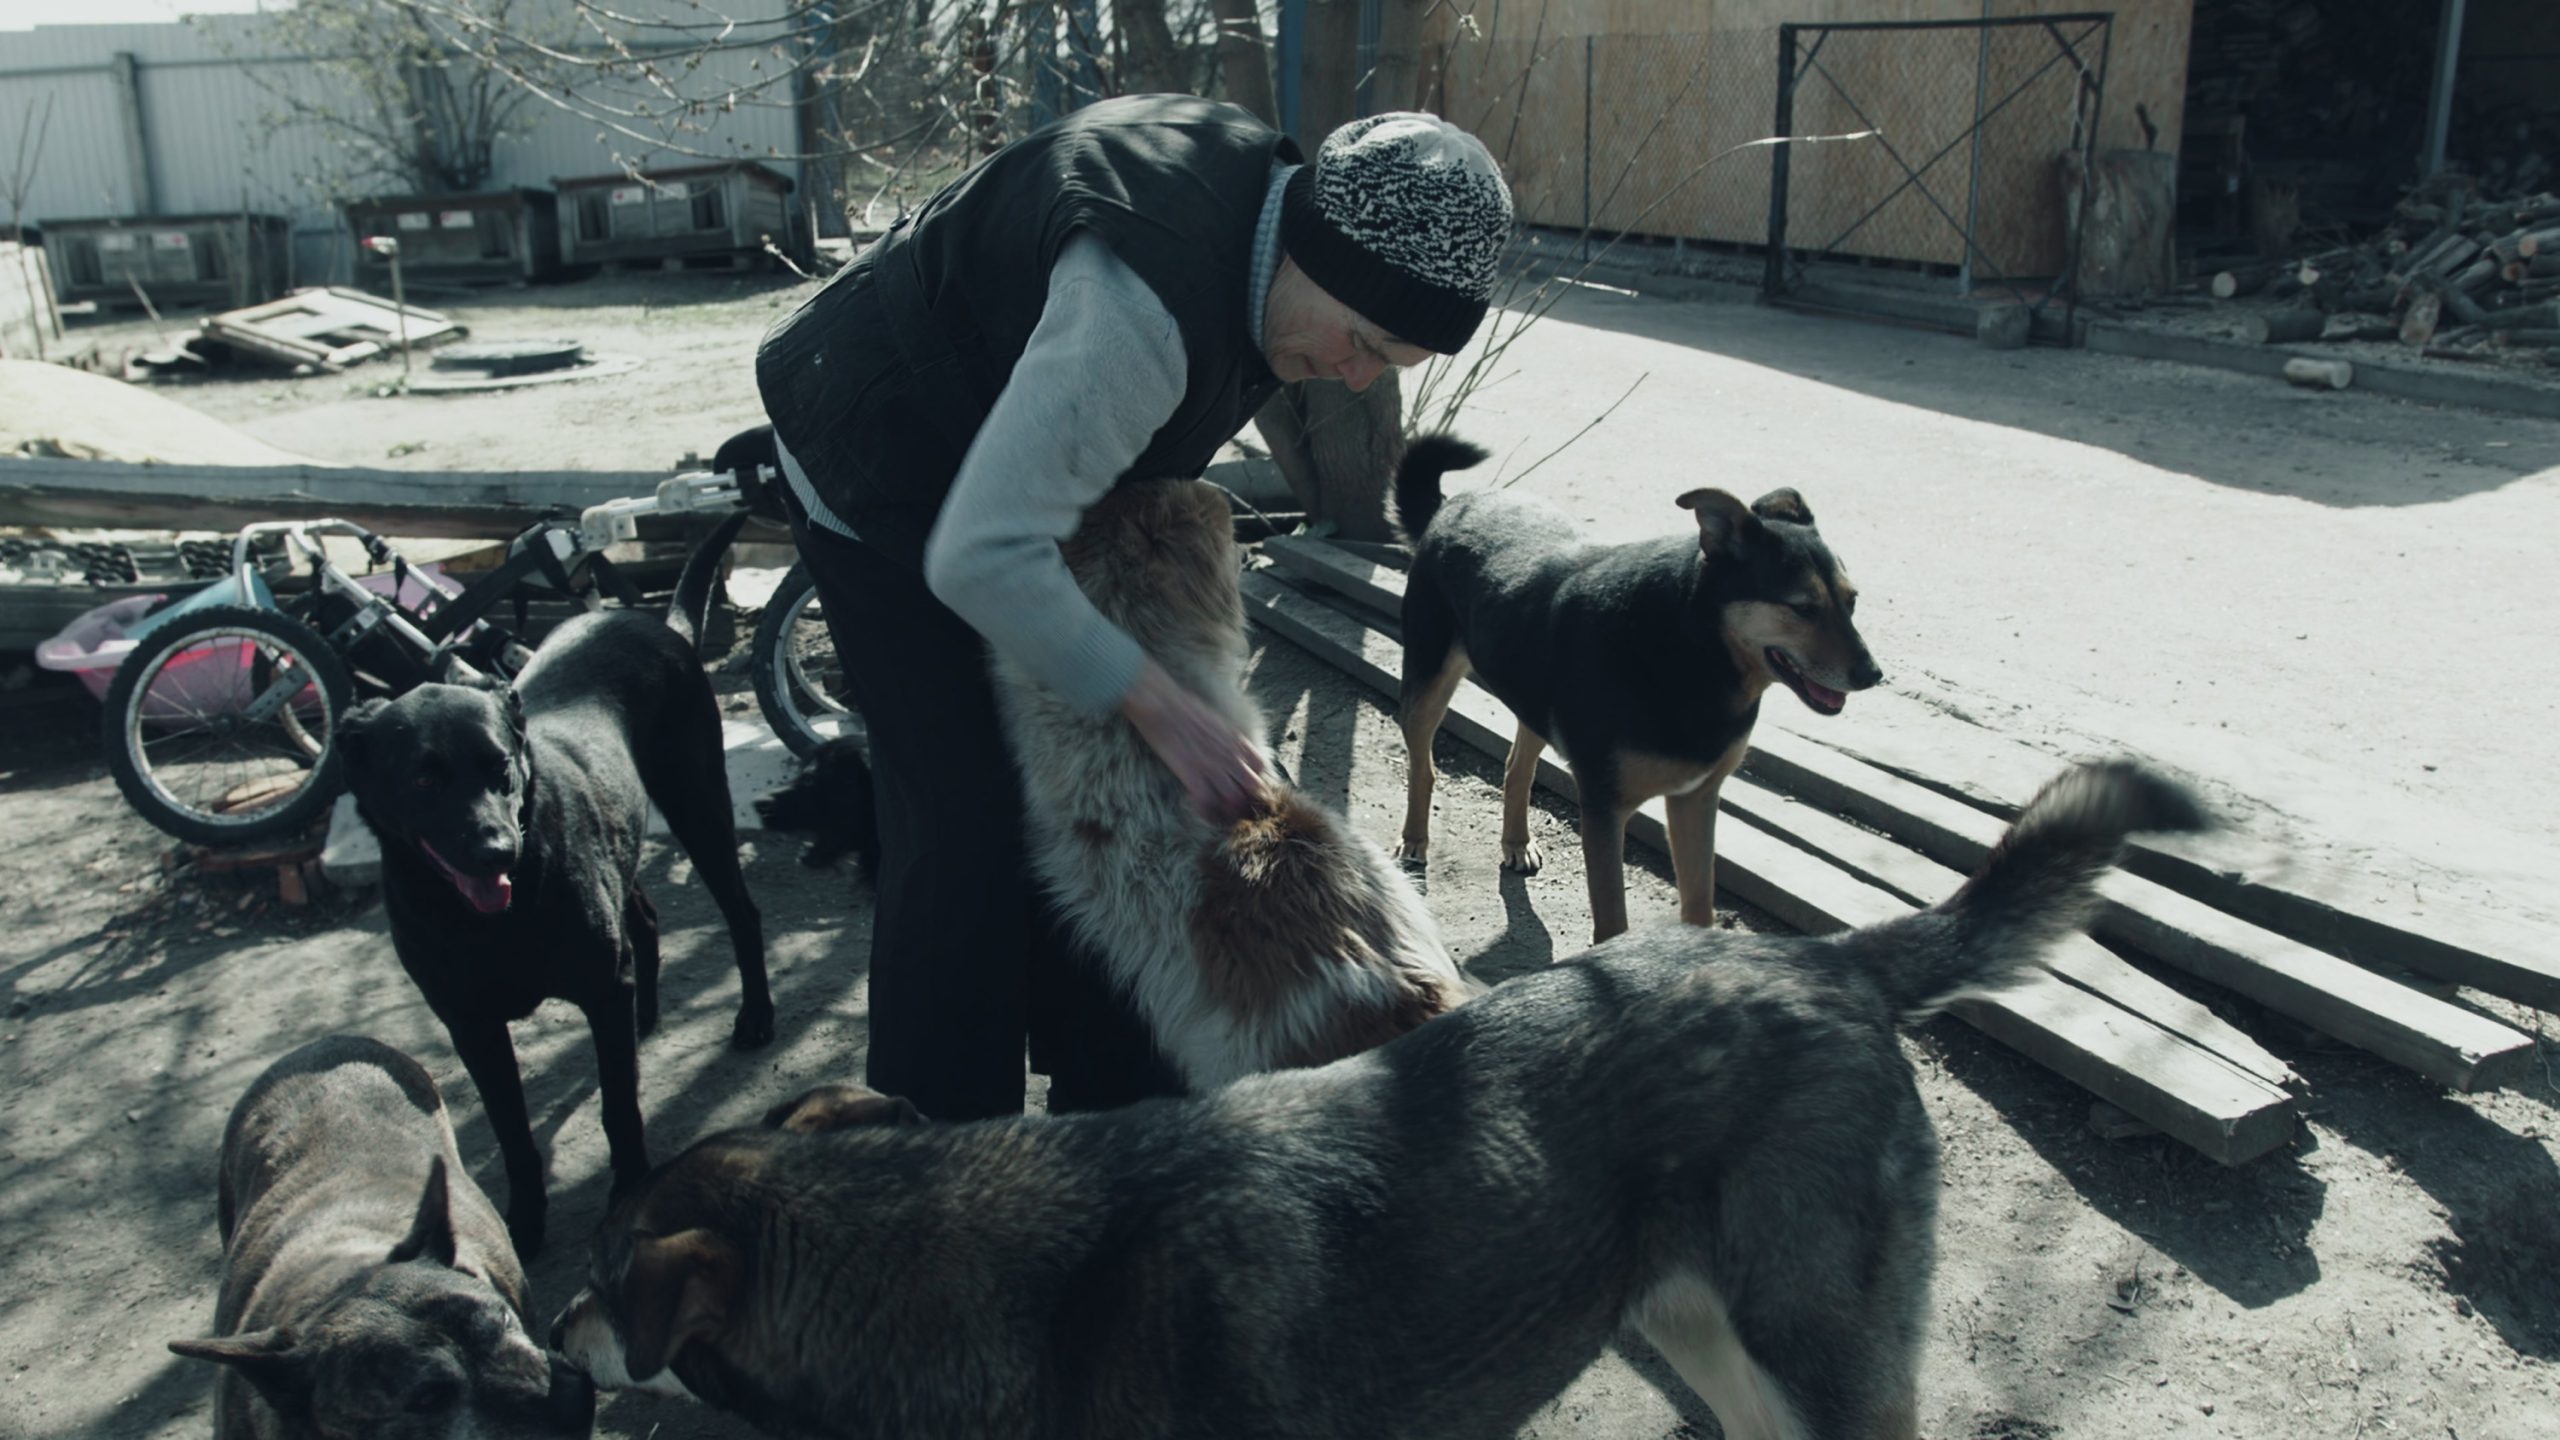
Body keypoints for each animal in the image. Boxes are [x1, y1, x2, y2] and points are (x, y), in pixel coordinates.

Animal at [345, 509, 773, 1250]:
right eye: (424, 780)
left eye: (500, 767)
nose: (496, 851)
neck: (485, 922)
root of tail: (654, 620)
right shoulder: (471, 1026)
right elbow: (513, 1133)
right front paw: (523, 1221)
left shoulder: (598, 989)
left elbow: (620, 1109)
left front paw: (628, 1192)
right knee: (643, 918)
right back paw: (648, 1012)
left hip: (696, 803)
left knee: (740, 914)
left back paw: (754, 1016)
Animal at [1402, 430, 1884, 937]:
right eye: (1803, 608)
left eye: (1852, 601)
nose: (1874, 675)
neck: (1692, 651)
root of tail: (1452, 505)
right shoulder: (1604, 810)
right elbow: (1613, 921)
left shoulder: (1696, 800)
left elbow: (1700, 905)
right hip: (1428, 685)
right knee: (1423, 765)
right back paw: (1414, 840)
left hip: (1529, 696)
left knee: (1517, 767)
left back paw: (1515, 842)